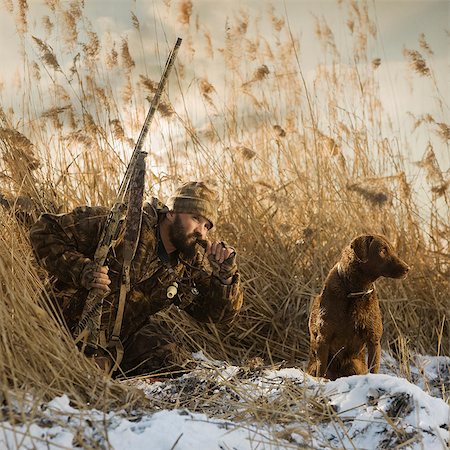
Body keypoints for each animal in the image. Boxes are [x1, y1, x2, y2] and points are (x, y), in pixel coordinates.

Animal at [308, 236, 410, 380]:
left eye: (393, 250)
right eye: (382, 250)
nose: (407, 268)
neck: (355, 292)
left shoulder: (374, 340)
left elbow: (374, 369)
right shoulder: (323, 339)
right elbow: (321, 370)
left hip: (355, 365)